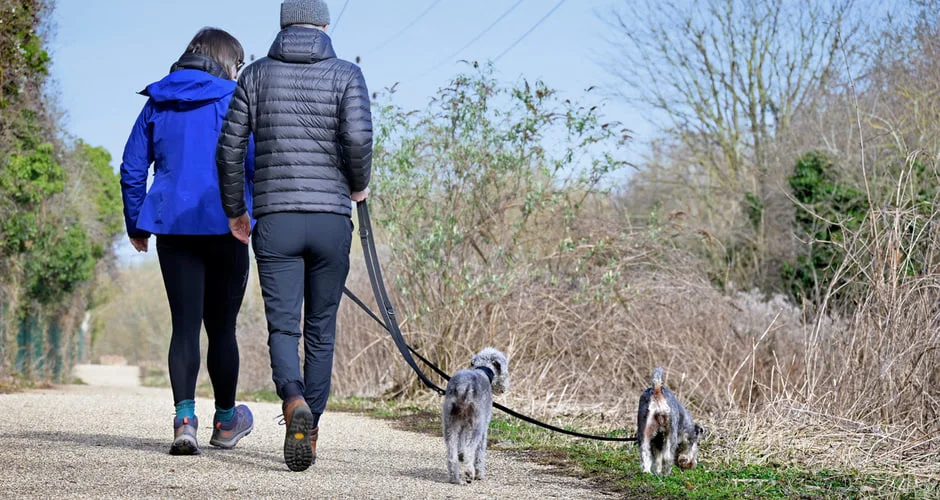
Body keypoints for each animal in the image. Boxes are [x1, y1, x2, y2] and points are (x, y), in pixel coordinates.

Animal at [442, 348, 510, 484]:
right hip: (476, 425)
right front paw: (480, 474)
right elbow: (479, 453)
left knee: (452, 454)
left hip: (450, 424)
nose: (504, 388)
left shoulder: (462, 427)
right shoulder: (484, 427)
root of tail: (463, 386)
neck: (484, 371)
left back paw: (454, 478)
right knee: (470, 451)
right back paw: (469, 473)